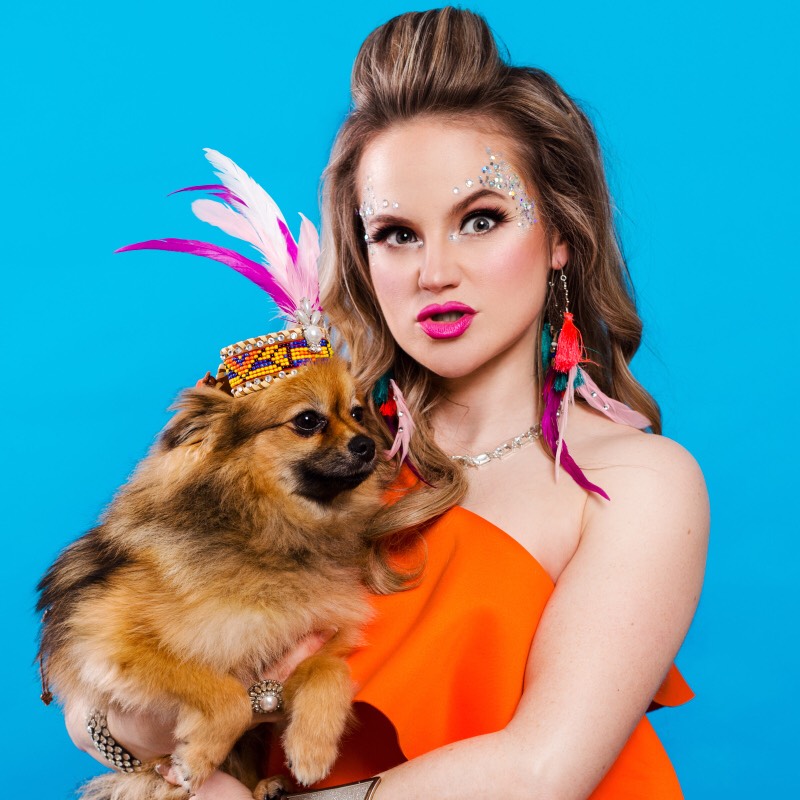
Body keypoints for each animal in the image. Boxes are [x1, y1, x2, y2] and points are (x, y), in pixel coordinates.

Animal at [37, 357, 387, 800]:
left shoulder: (312, 640)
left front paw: (312, 748)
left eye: (357, 413)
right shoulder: (109, 640)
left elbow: (332, 673)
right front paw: (198, 757)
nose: (368, 444)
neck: (264, 533)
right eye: (308, 420)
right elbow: (228, 695)